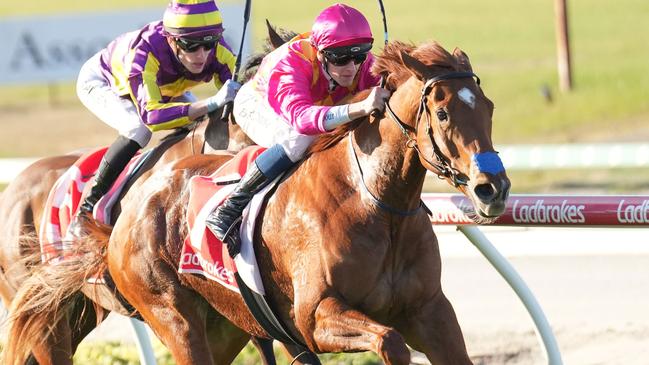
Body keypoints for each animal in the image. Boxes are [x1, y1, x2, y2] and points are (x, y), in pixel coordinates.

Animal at [6, 40, 512, 364]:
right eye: (442, 112)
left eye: (489, 107)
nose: (492, 188)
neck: (375, 203)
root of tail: (132, 207)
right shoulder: (314, 317)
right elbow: (390, 342)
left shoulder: (431, 312)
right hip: (165, 318)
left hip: (217, 327)